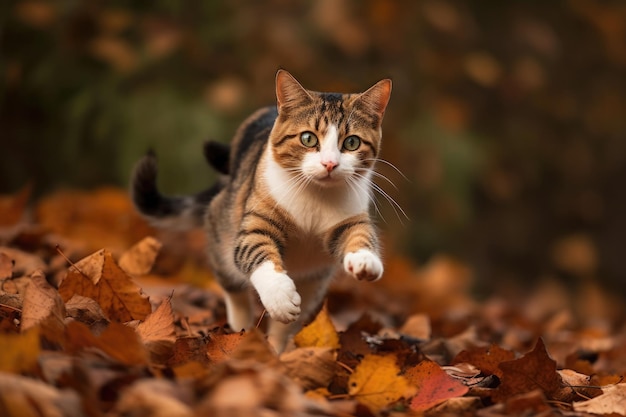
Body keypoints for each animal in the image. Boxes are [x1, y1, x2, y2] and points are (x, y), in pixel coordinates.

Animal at [132, 69, 390, 352]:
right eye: (308, 138)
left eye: (352, 142)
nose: (330, 164)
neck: (315, 197)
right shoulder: (258, 218)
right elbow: (255, 248)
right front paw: (279, 297)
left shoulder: (348, 217)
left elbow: (360, 233)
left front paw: (364, 259)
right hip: (222, 224)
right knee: (232, 283)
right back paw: (241, 330)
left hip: (313, 279)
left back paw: (278, 350)